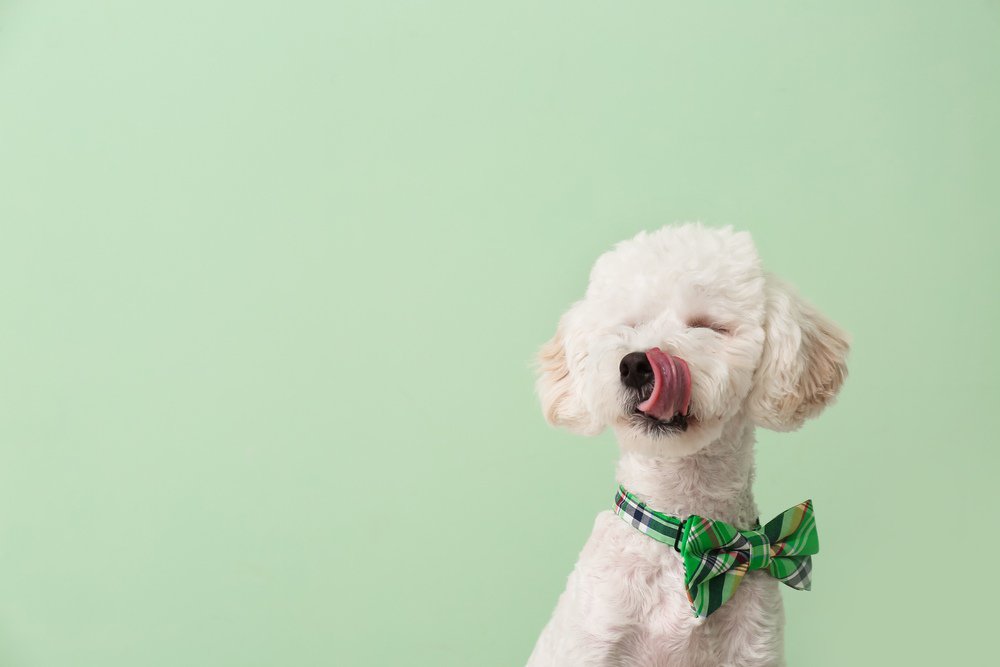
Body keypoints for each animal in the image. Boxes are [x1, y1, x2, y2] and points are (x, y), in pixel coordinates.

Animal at [528, 224, 848, 667]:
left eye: (708, 327)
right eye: (628, 326)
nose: (637, 363)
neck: (684, 533)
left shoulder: (754, 649)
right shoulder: (590, 644)